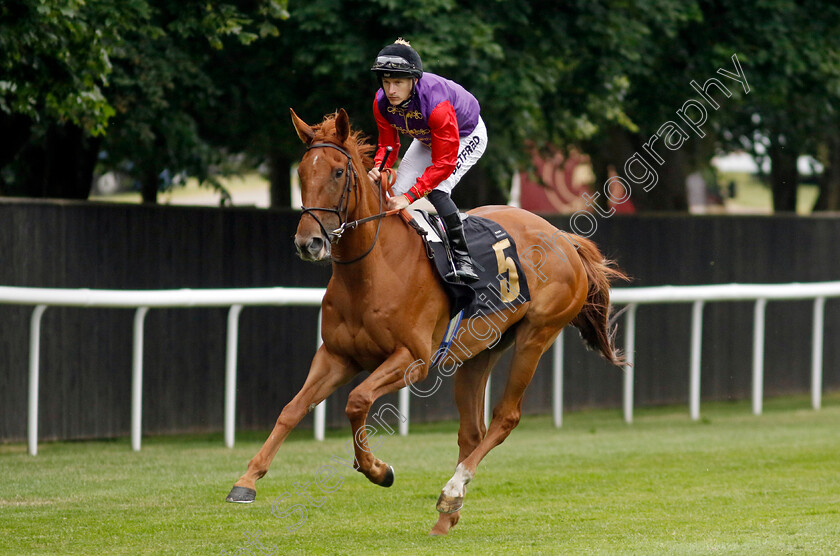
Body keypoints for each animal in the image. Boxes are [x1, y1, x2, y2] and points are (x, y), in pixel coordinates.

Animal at [226, 107, 628, 536]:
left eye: (337, 172)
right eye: (302, 172)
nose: (309, 243)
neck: (372, 270)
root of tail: (564, 238)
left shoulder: (413, 360)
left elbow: (357, 400)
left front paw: (377, 469)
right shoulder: (336, 355)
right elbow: (292, 408)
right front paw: (246, 481)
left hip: (537, 335)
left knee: (505, 418)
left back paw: (451, 490)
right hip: (481, 349)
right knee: (472, 431)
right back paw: (447, 515)